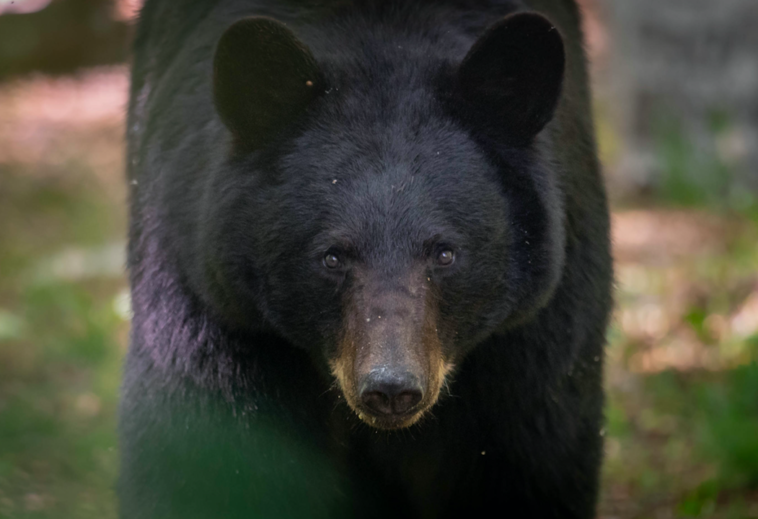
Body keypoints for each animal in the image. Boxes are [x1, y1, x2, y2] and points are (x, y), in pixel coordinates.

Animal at [119, 0, 613, 518]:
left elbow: (530, 454)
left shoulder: (533, 332)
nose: (391, 389)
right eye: (333, 257)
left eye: (445, 253)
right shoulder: (211, 296)